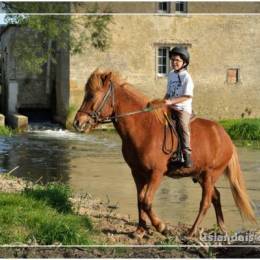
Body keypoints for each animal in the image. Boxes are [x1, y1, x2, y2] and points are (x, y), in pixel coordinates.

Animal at [73, 69, 256, 238]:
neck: (143, 128)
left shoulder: (156, 173)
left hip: (210, 174)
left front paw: (161, 226)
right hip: (200, 175)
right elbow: (139, 200)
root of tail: (226, 137)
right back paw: (222, 228)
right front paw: (140, 230)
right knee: (215, 196)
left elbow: (146, 201)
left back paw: (191, 232)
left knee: (205, 202)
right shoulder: (137, 173)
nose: (77, 123)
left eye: (91, 96)